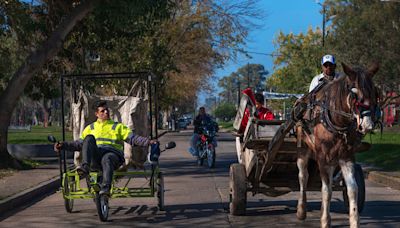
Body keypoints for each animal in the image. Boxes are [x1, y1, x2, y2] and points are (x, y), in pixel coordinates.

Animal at [296, 62, 378, 228]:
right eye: (354, 93)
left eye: (374, 92)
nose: (368, 125)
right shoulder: (323, 158)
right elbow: (326, 191)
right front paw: (325, 221)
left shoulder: (346, 158)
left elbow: (353, 189)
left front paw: (354, 221)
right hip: (303, 150)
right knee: (303, 176)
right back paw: (301, 210)